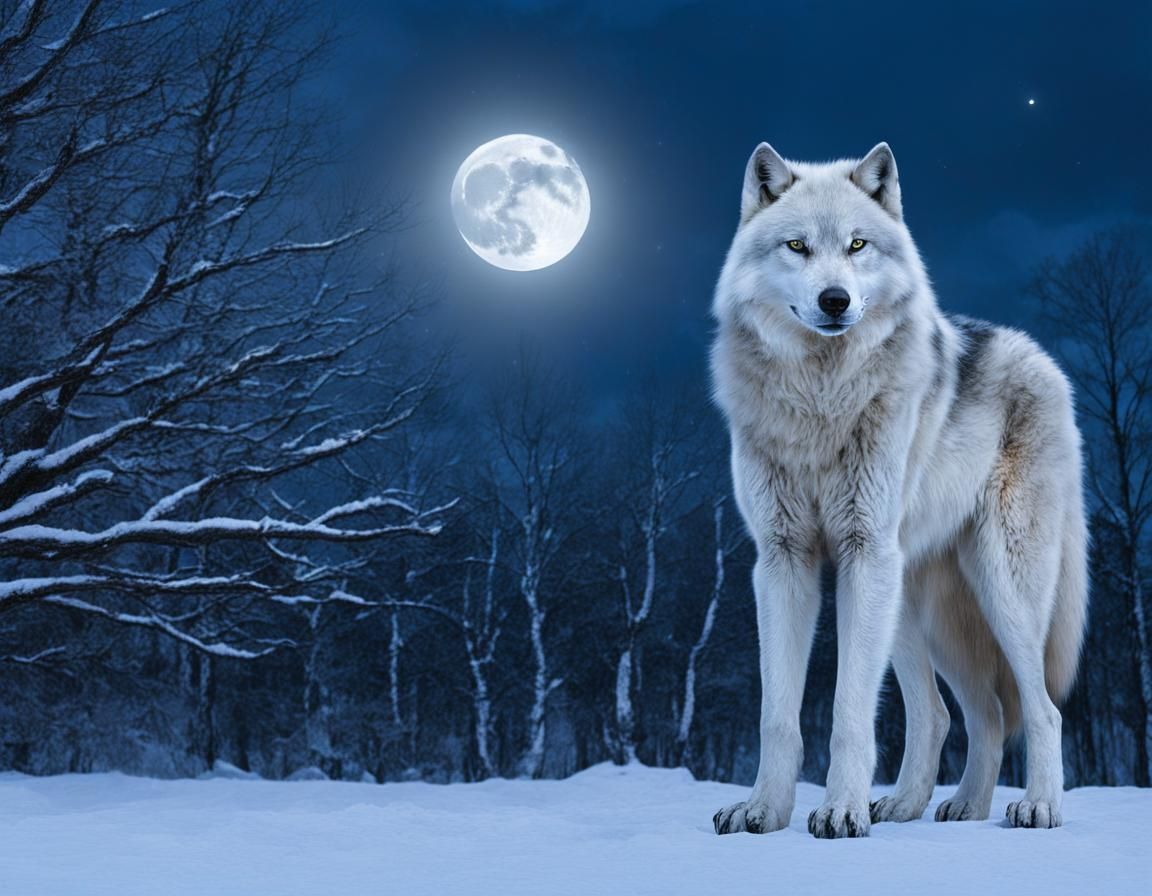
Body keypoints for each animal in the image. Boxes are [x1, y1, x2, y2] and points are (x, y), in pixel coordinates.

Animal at [709, 142, 1088, 839]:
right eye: (797, 247)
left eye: (858, 244)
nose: (835, 300)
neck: (821, 400)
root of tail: (1041, 357)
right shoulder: (782, 561)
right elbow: (778, 716)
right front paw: (763, 812)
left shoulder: (862, 551)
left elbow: (849, 712)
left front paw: (839, 812)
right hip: (915, 606)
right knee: (963, 714)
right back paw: (936, 807)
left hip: (997, 589)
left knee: (1039, 708)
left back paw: (1037, 807)